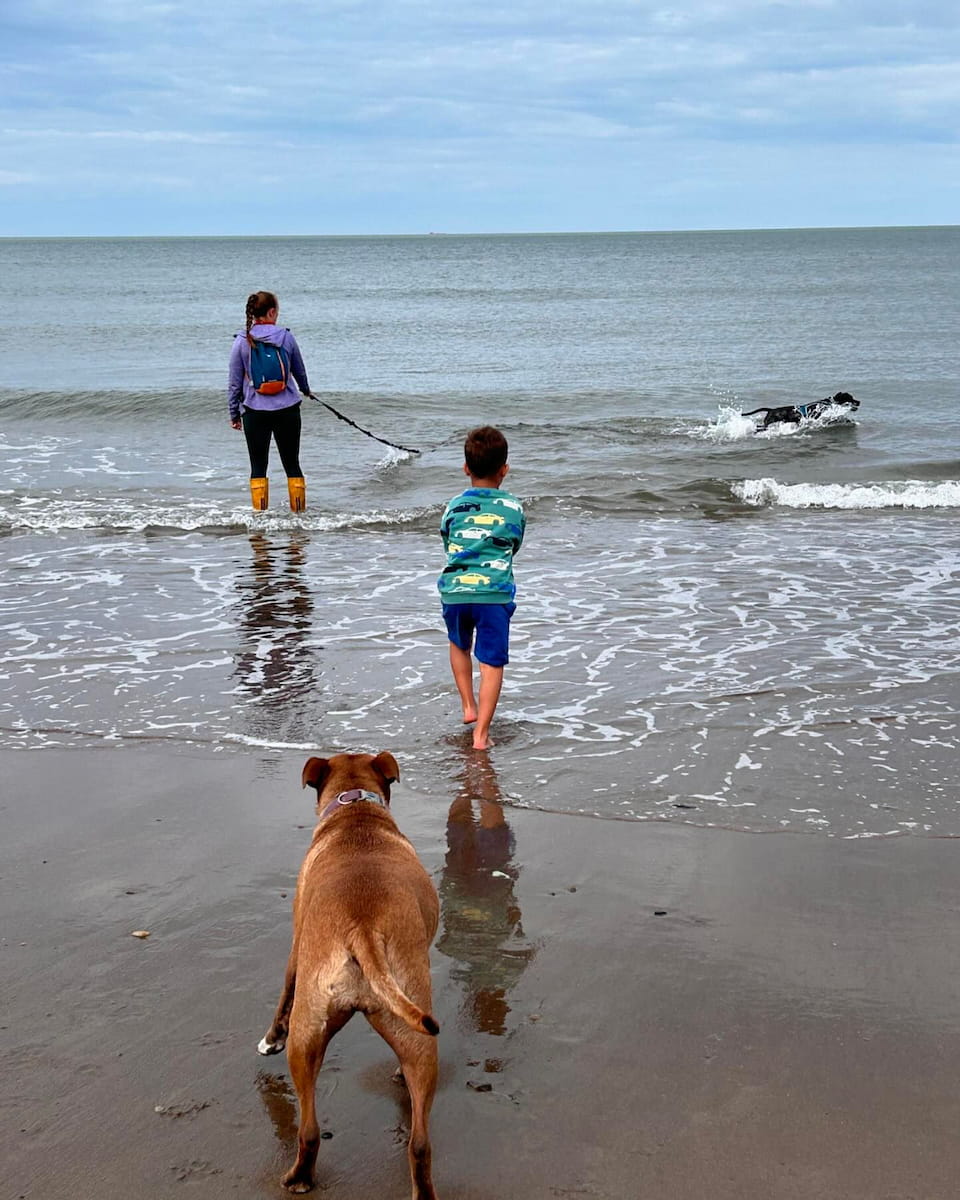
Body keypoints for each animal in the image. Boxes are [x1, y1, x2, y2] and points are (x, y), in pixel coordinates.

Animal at [260, 753, 444, 1195]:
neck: (356, 812)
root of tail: (363, 925)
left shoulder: (296, 946)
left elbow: (283, 992)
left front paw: (269, 1040)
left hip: (310, 1022)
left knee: (308, 1126)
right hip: (405, 1027)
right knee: (417, 1140)